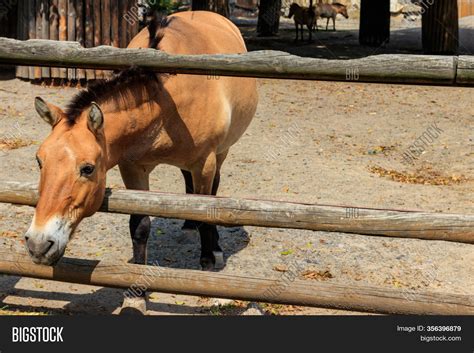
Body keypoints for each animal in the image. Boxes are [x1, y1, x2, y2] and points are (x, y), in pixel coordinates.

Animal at [25, 10, 260, 308]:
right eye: (39, 161)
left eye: (87, 169)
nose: (38, 244)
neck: (167, 102)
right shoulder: (133, 168)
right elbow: (139, 225)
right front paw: (136, 293)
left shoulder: (204, 162)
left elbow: (207, 212)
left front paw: (208, 266)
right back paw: (189, 224)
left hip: (220, 153)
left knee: (212, 191)